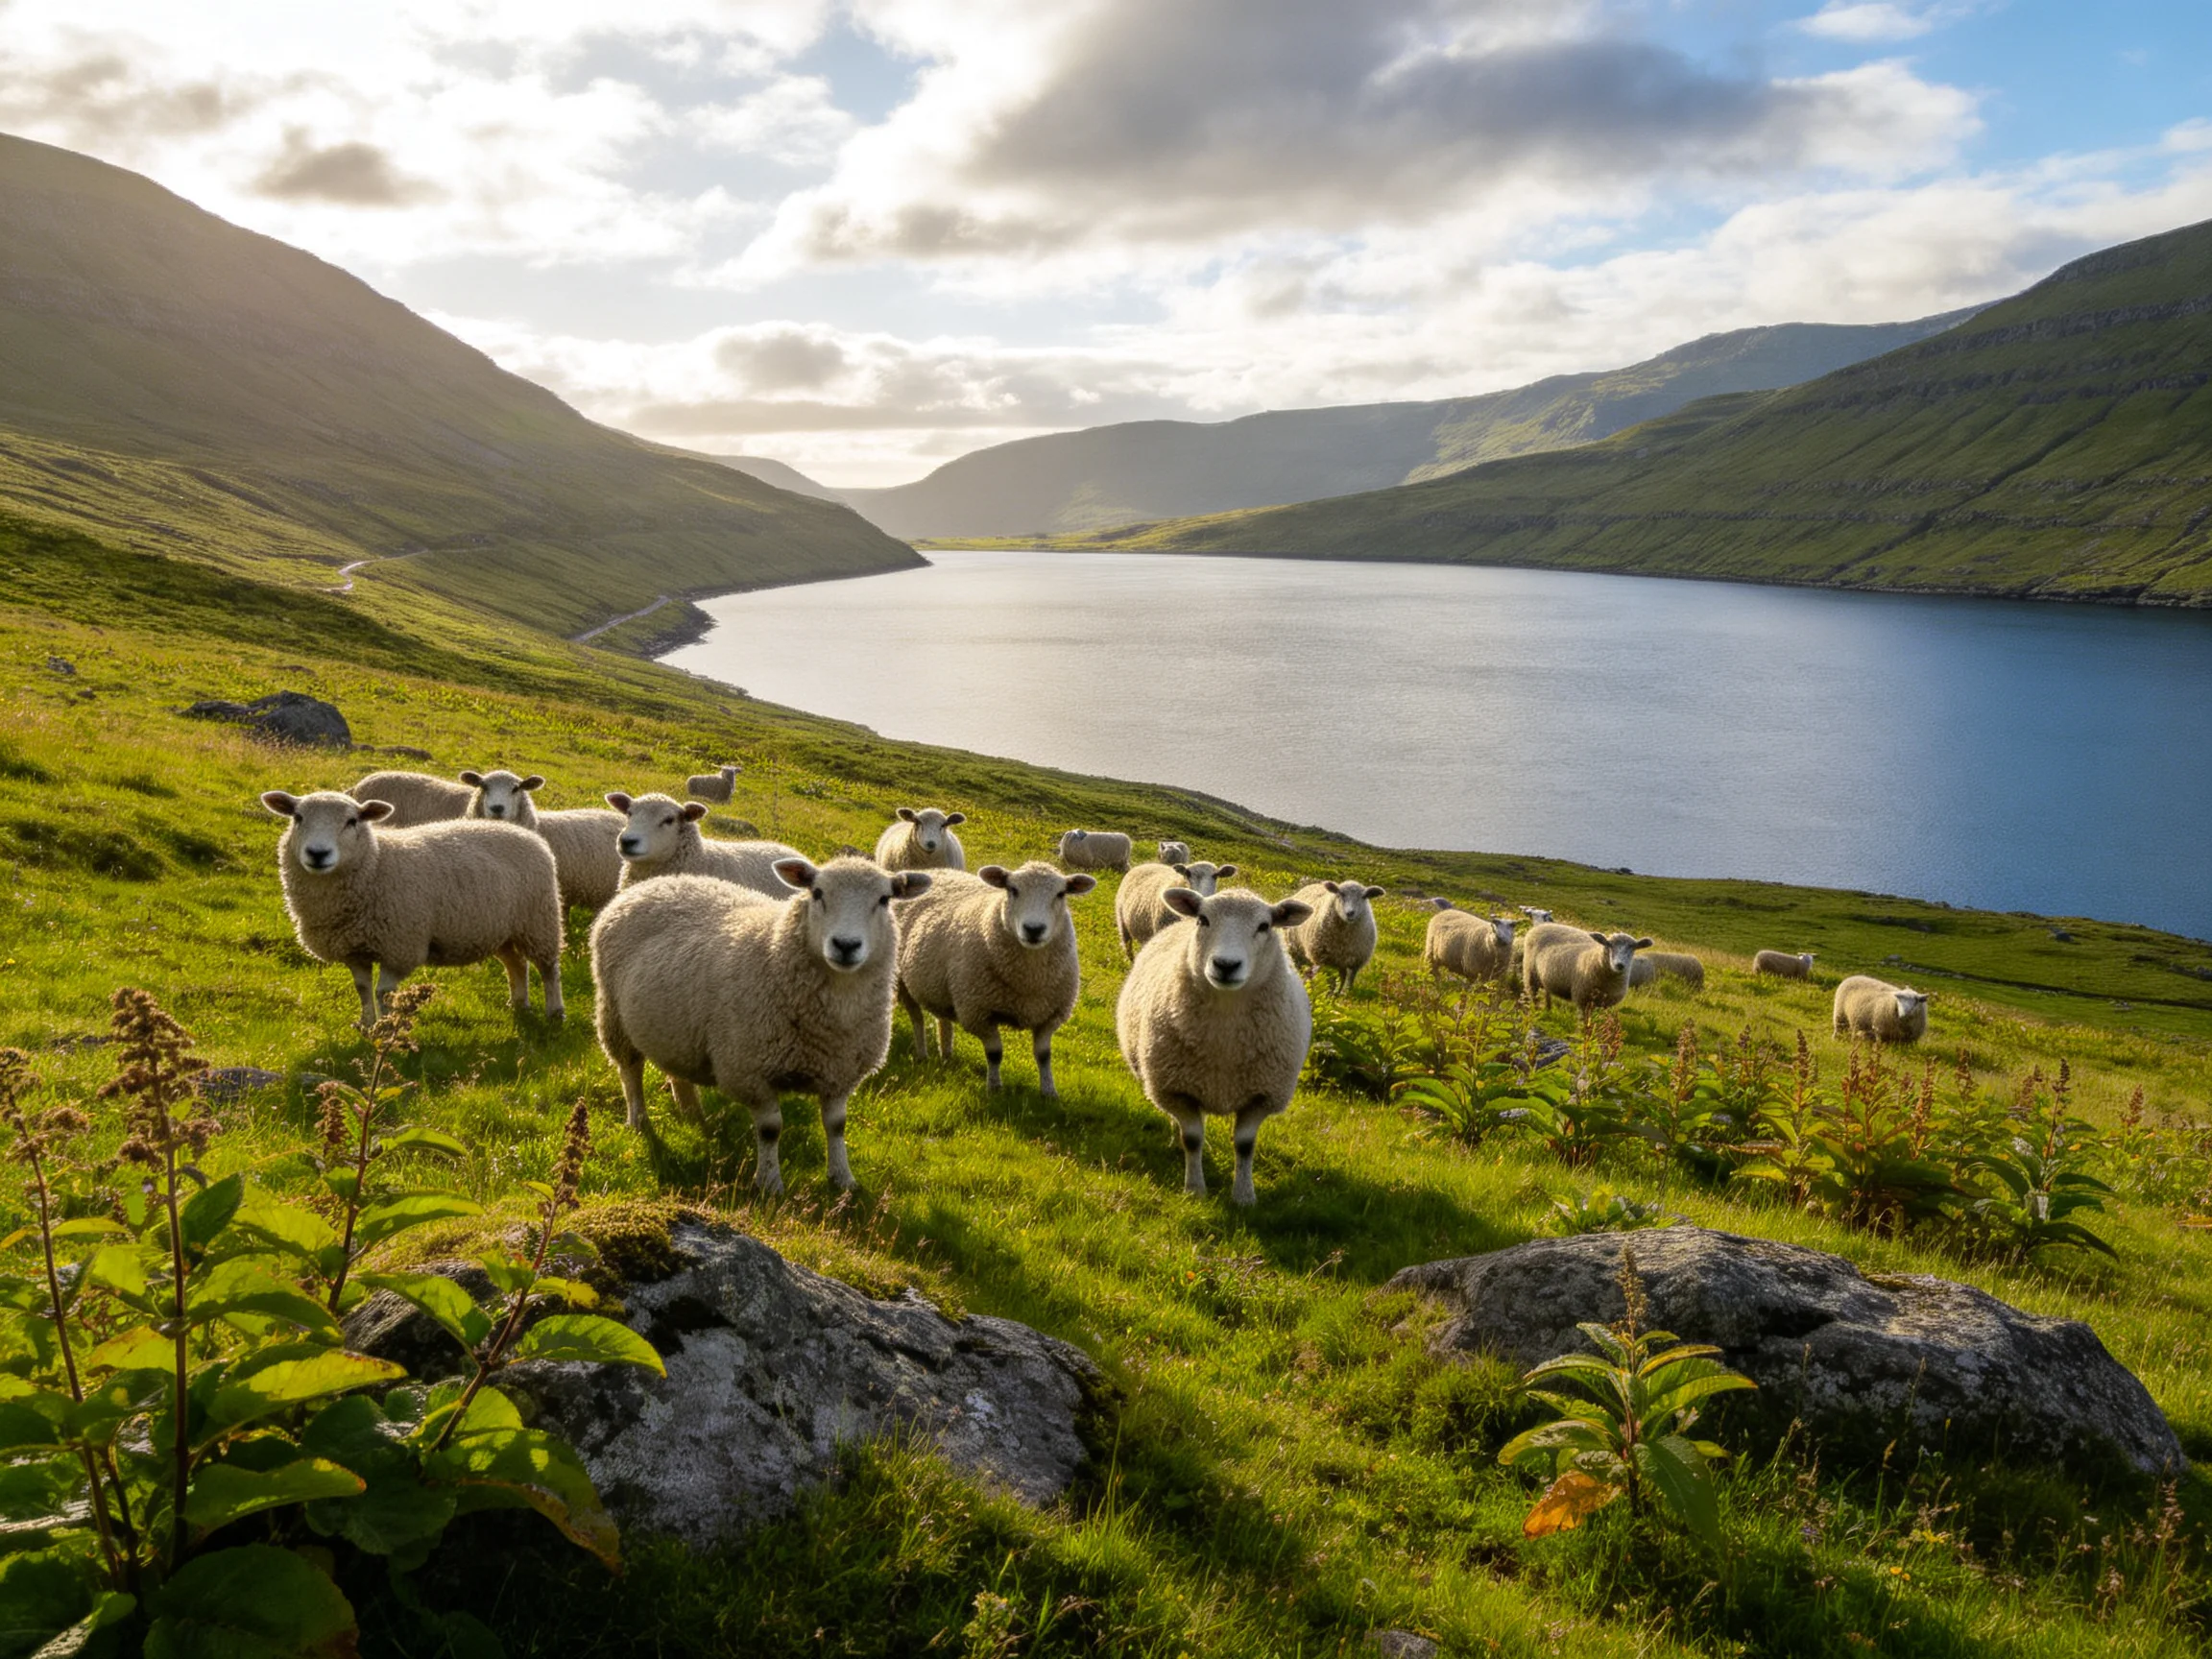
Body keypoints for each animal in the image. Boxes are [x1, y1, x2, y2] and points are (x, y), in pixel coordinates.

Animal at [261, 789, 563, 1029]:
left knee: (548, 968)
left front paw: (384, 1030)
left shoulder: (400, 946)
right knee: (517, 964)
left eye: (352, 821)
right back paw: (519, 1003)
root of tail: (527, 834)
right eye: (298, 818)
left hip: (540, 920)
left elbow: (384, 992)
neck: (376, 864)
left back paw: (555, 1013)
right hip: (501, 929)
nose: (318, 853)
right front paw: (366, 1024)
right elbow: (362, 988)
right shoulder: (353, 948)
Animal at [589, 857, 931, 1191]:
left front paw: (843, 1180)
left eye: (884, 899)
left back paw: (693, 1116)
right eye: (817, 893)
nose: (845, 945)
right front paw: (770, 1184)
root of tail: (655, 883)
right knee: (630, 1071)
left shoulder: (840, 1072)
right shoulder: (750, 1071)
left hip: (673, 1029)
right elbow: (770, 1129)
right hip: (613, 1014)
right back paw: (639, 1120)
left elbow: (836, 1126)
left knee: (677, 1071)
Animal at [894, 861, 1096, 1096]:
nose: (1033, 929)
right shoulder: (979, 1012)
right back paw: (922, 1054)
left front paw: (1049, 1092)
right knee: (916, 1019)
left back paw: (946, 1054)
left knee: (942, 1019)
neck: (1030, 981)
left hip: (940, 988)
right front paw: (994, 1088)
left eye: (1061, 894)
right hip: (901, 982)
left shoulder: (1050, 1015)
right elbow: (994, 1053)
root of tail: (933, 870)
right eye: (1013, 890)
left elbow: (1044, 1056)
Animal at [1116, 886, 1314, 1206]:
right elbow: (1192, 1138)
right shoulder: (1176, 1089)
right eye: (1204, 920)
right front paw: (1195, 1189)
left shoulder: (1262, 1095)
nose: (1226, 965)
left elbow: (1245, 1145)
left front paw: (1244, 1196)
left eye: (1264, 926)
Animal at [1522, 922, 1652, 1013]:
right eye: (1609, 945)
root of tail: (1542, 925)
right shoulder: (1582, 998)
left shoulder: (1604, 1004)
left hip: (1546, 976)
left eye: (1633, 947)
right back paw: (1537, 1012)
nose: (1619, 965)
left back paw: (1548, 1009)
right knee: (1533, 995)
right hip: (1530, 973)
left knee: (1547, 991)